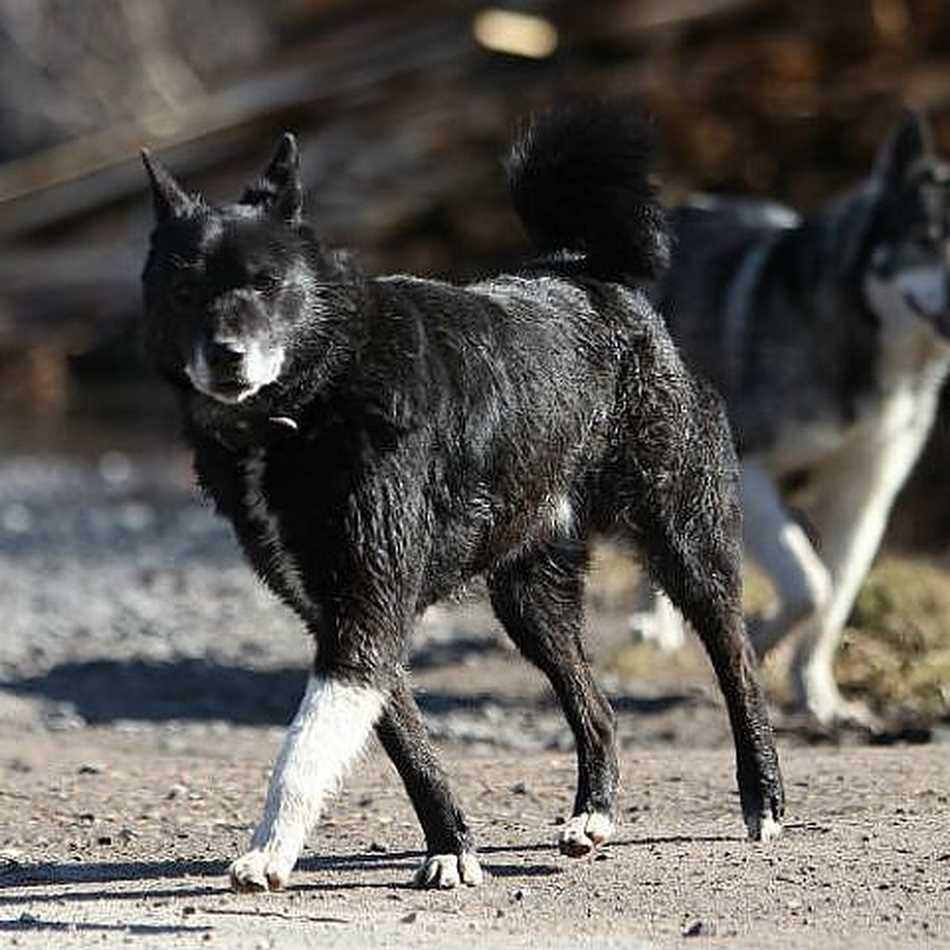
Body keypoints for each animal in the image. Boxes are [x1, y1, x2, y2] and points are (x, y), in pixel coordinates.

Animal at [139, 102, 780, 892]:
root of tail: (586, 272)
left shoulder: (365, 609)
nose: (226, 356)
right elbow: (404, 745)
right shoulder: (344, 618)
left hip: (684, 544)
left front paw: (269, 850)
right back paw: (592, 816)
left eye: (265, 282)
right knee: (596, 706)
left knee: (736, 661)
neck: (313, 401)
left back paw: (763, 798)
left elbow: (303, 747)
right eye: (184, 291)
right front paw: (451, 846)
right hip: (531, 599)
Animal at [636, 111, 950, 732]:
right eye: (929, 241)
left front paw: (819, 696)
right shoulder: (748, 468)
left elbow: (833, 597)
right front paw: (760, 638)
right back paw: (654, 625)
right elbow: (810, 584)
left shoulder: (865, 496)